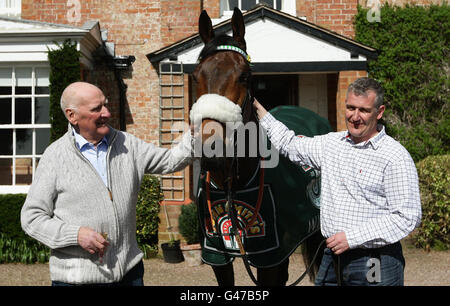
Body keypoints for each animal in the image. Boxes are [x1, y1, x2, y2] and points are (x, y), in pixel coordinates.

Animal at [190, 8, 330, 286]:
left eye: (244, 75)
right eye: (197, 75)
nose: (212, 148)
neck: (234, 183)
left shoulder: (269, 258)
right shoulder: (217, 255)